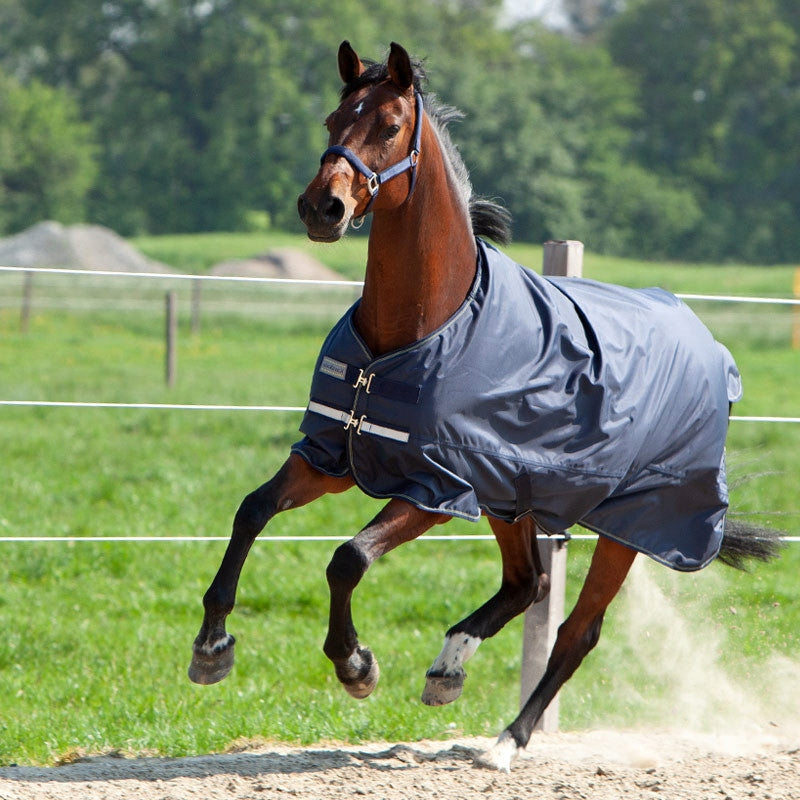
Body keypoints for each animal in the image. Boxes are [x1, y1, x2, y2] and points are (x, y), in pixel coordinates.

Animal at [189, 41, 780, 771]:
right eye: (332, 119)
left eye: (389, 125)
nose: (320, 207)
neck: (416, 332)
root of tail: (707, 342)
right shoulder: (335, 457)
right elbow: (251, 511)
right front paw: (211, 647)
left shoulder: (437, 491)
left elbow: (348, 558)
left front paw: (356, 665)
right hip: (514, 498)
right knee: (526, 584)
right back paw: (447, 669)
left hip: (629, 525)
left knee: (578, 630)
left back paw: (507, 740)